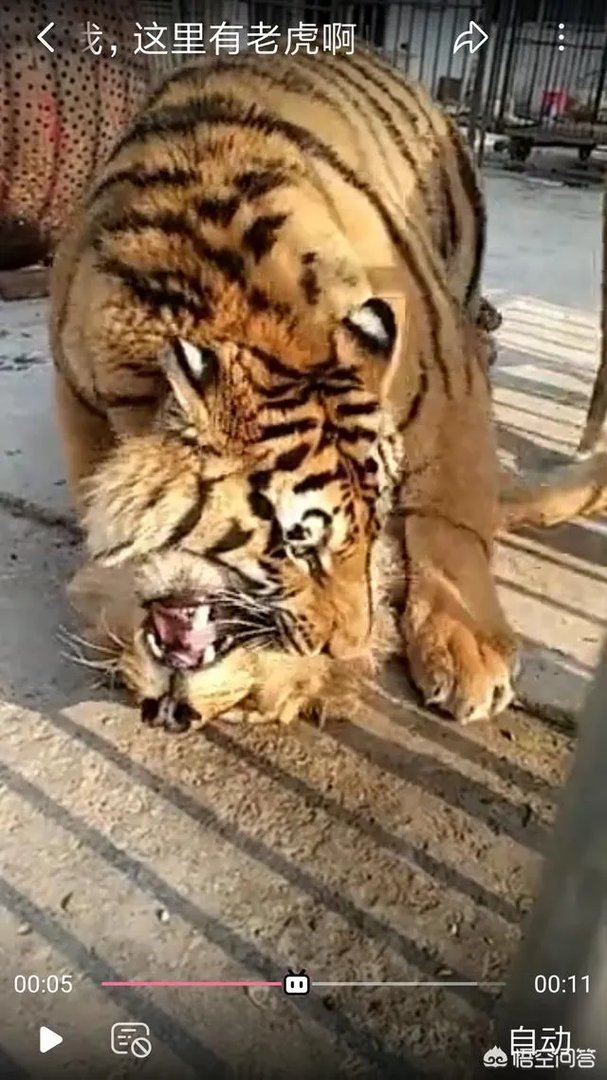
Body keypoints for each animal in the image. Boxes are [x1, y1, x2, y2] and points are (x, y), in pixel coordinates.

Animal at [50, 46, 606, 733]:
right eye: (299, 547)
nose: (182, 714)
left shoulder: (446, 377)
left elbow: (451, 515)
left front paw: (468, 649)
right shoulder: (80, 394)